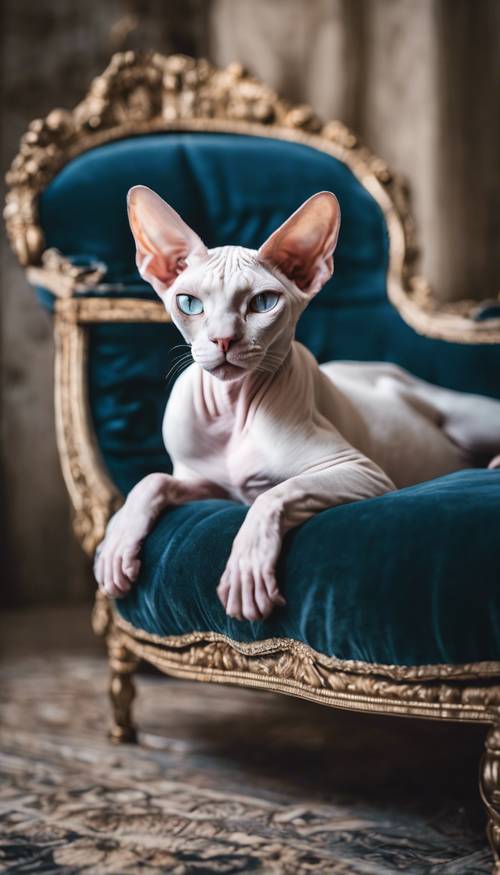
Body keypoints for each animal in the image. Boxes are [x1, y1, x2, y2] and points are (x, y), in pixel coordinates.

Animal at [94, 186, 500, 624]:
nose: (223, 340)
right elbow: (152, 480)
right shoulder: (208, 484)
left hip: (467, 420)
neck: (231, 409)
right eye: (189, 304)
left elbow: (276, 493)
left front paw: (246, 573)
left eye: (263, 303)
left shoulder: (363, 472)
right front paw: (116, 545)